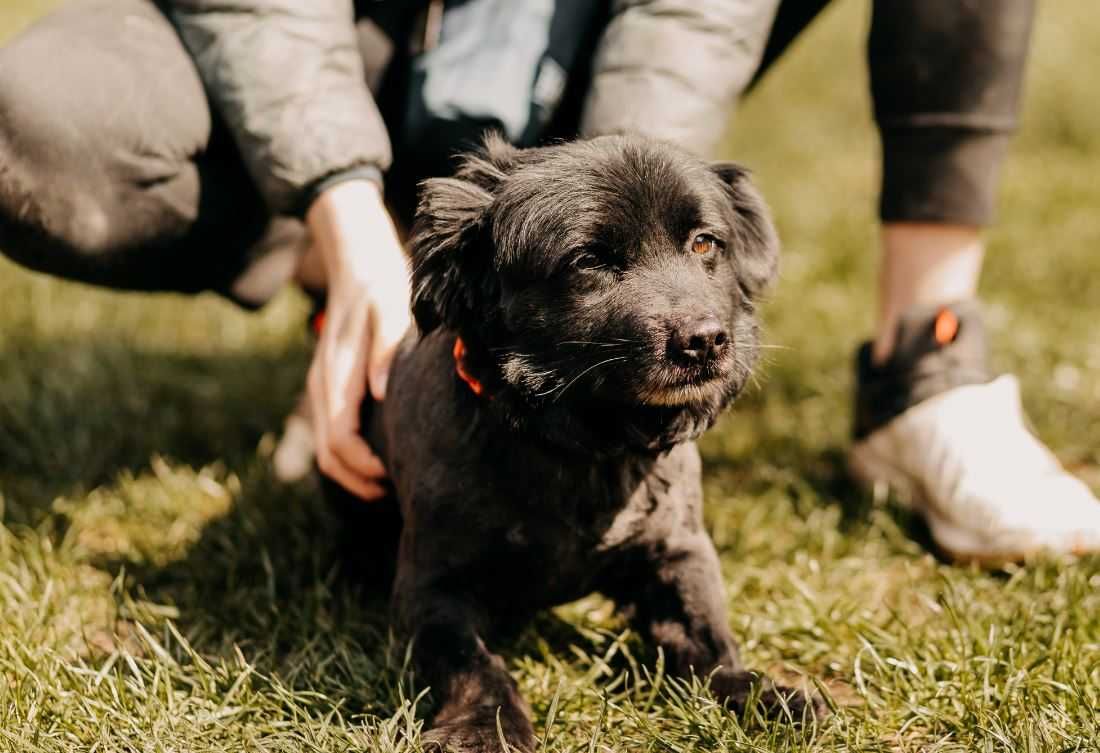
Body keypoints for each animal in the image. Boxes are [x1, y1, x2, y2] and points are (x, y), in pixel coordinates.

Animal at [330, 131, 822, 747]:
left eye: (705, 243)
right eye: (588, 260)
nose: (706, 341)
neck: (587, 446)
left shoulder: (679, 552)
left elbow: (709, 644)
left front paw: (762, 694)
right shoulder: (431, 588)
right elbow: (472, 664)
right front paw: (485, 725)